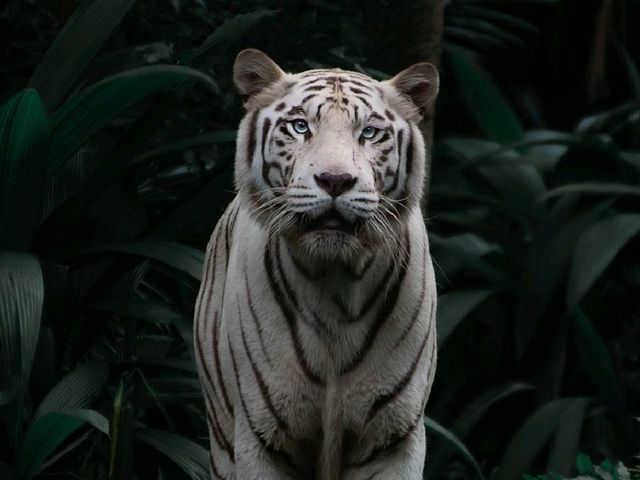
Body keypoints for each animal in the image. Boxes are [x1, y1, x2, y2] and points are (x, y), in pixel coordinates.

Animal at [192, 48, 438, 480]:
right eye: (300, 126)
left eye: (369, 133)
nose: (335, 179)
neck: (336, 282)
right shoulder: (261, 435)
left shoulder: (392, 437)